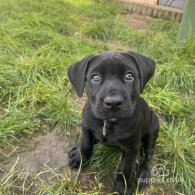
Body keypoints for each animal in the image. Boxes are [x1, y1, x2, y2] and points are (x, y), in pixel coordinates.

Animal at [68, 51, 159, 194]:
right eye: (95, 77)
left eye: (129, 76)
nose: (113, 102)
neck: (108, 122)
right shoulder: (86, 127)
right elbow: (85, 144)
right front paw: (80, 158)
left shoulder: (131, 148)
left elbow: (125, 169)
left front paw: (123, 187)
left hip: (153, 127)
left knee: (148, 153)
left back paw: (143, 173)